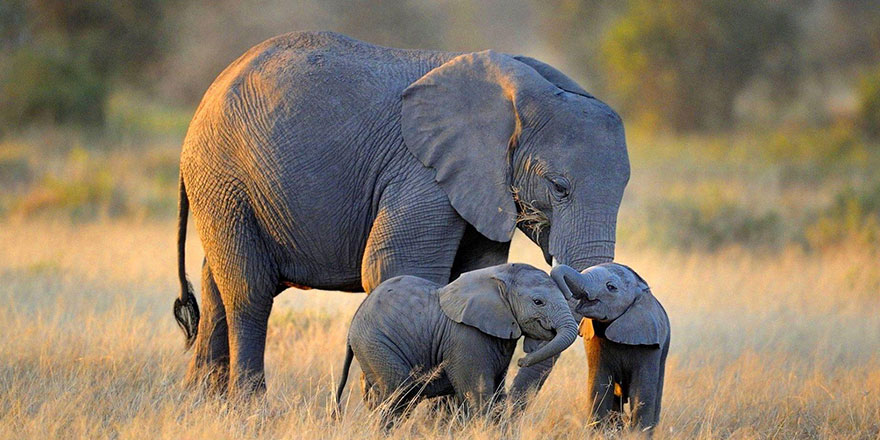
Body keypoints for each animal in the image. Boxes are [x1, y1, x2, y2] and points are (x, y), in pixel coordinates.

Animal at [172, 31, 628, 396]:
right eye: (559, 188)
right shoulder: (421, 173)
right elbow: (396, 267)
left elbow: (475, 272)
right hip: (224, 176)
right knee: (248, 292)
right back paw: (248, 407)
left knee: (216, 284)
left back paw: (202, 404)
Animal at [336, 262, 576, 424]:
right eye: (538, 302)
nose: (522, 361)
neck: (498, 276)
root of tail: (353, 324)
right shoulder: (466, 338)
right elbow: (479, 395)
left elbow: (498, 394)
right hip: (376, 344)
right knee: (398, 395)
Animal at [552, 262, 672, 432]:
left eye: (611, 287)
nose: (568, 296)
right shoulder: (594, 340)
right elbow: (599, 386)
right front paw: (597, 432)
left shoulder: (649, 344)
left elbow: (641, 392)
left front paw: (637, 434)